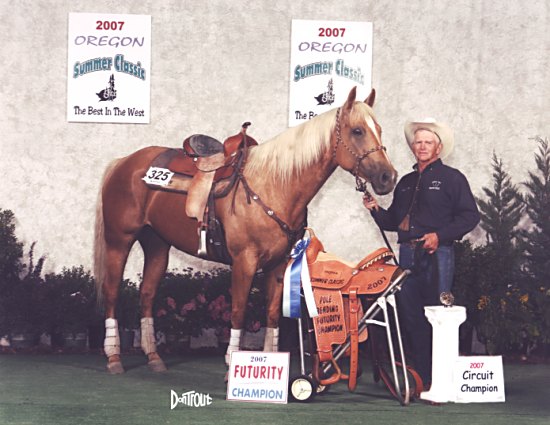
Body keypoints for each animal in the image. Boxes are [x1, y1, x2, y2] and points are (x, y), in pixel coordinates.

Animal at [94, 86, 396, 372]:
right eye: (357, 130)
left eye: (380, 130)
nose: (388, 177)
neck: (274, 185)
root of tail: (124, 162)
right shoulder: (244, 262)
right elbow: (238, 311)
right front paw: (232, 363)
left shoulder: (278, 265)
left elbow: (272, 314)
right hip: (119, 240)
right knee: (111, 291)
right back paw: (113, 357)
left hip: (156, 243)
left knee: (147, 294)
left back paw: (154, 357)